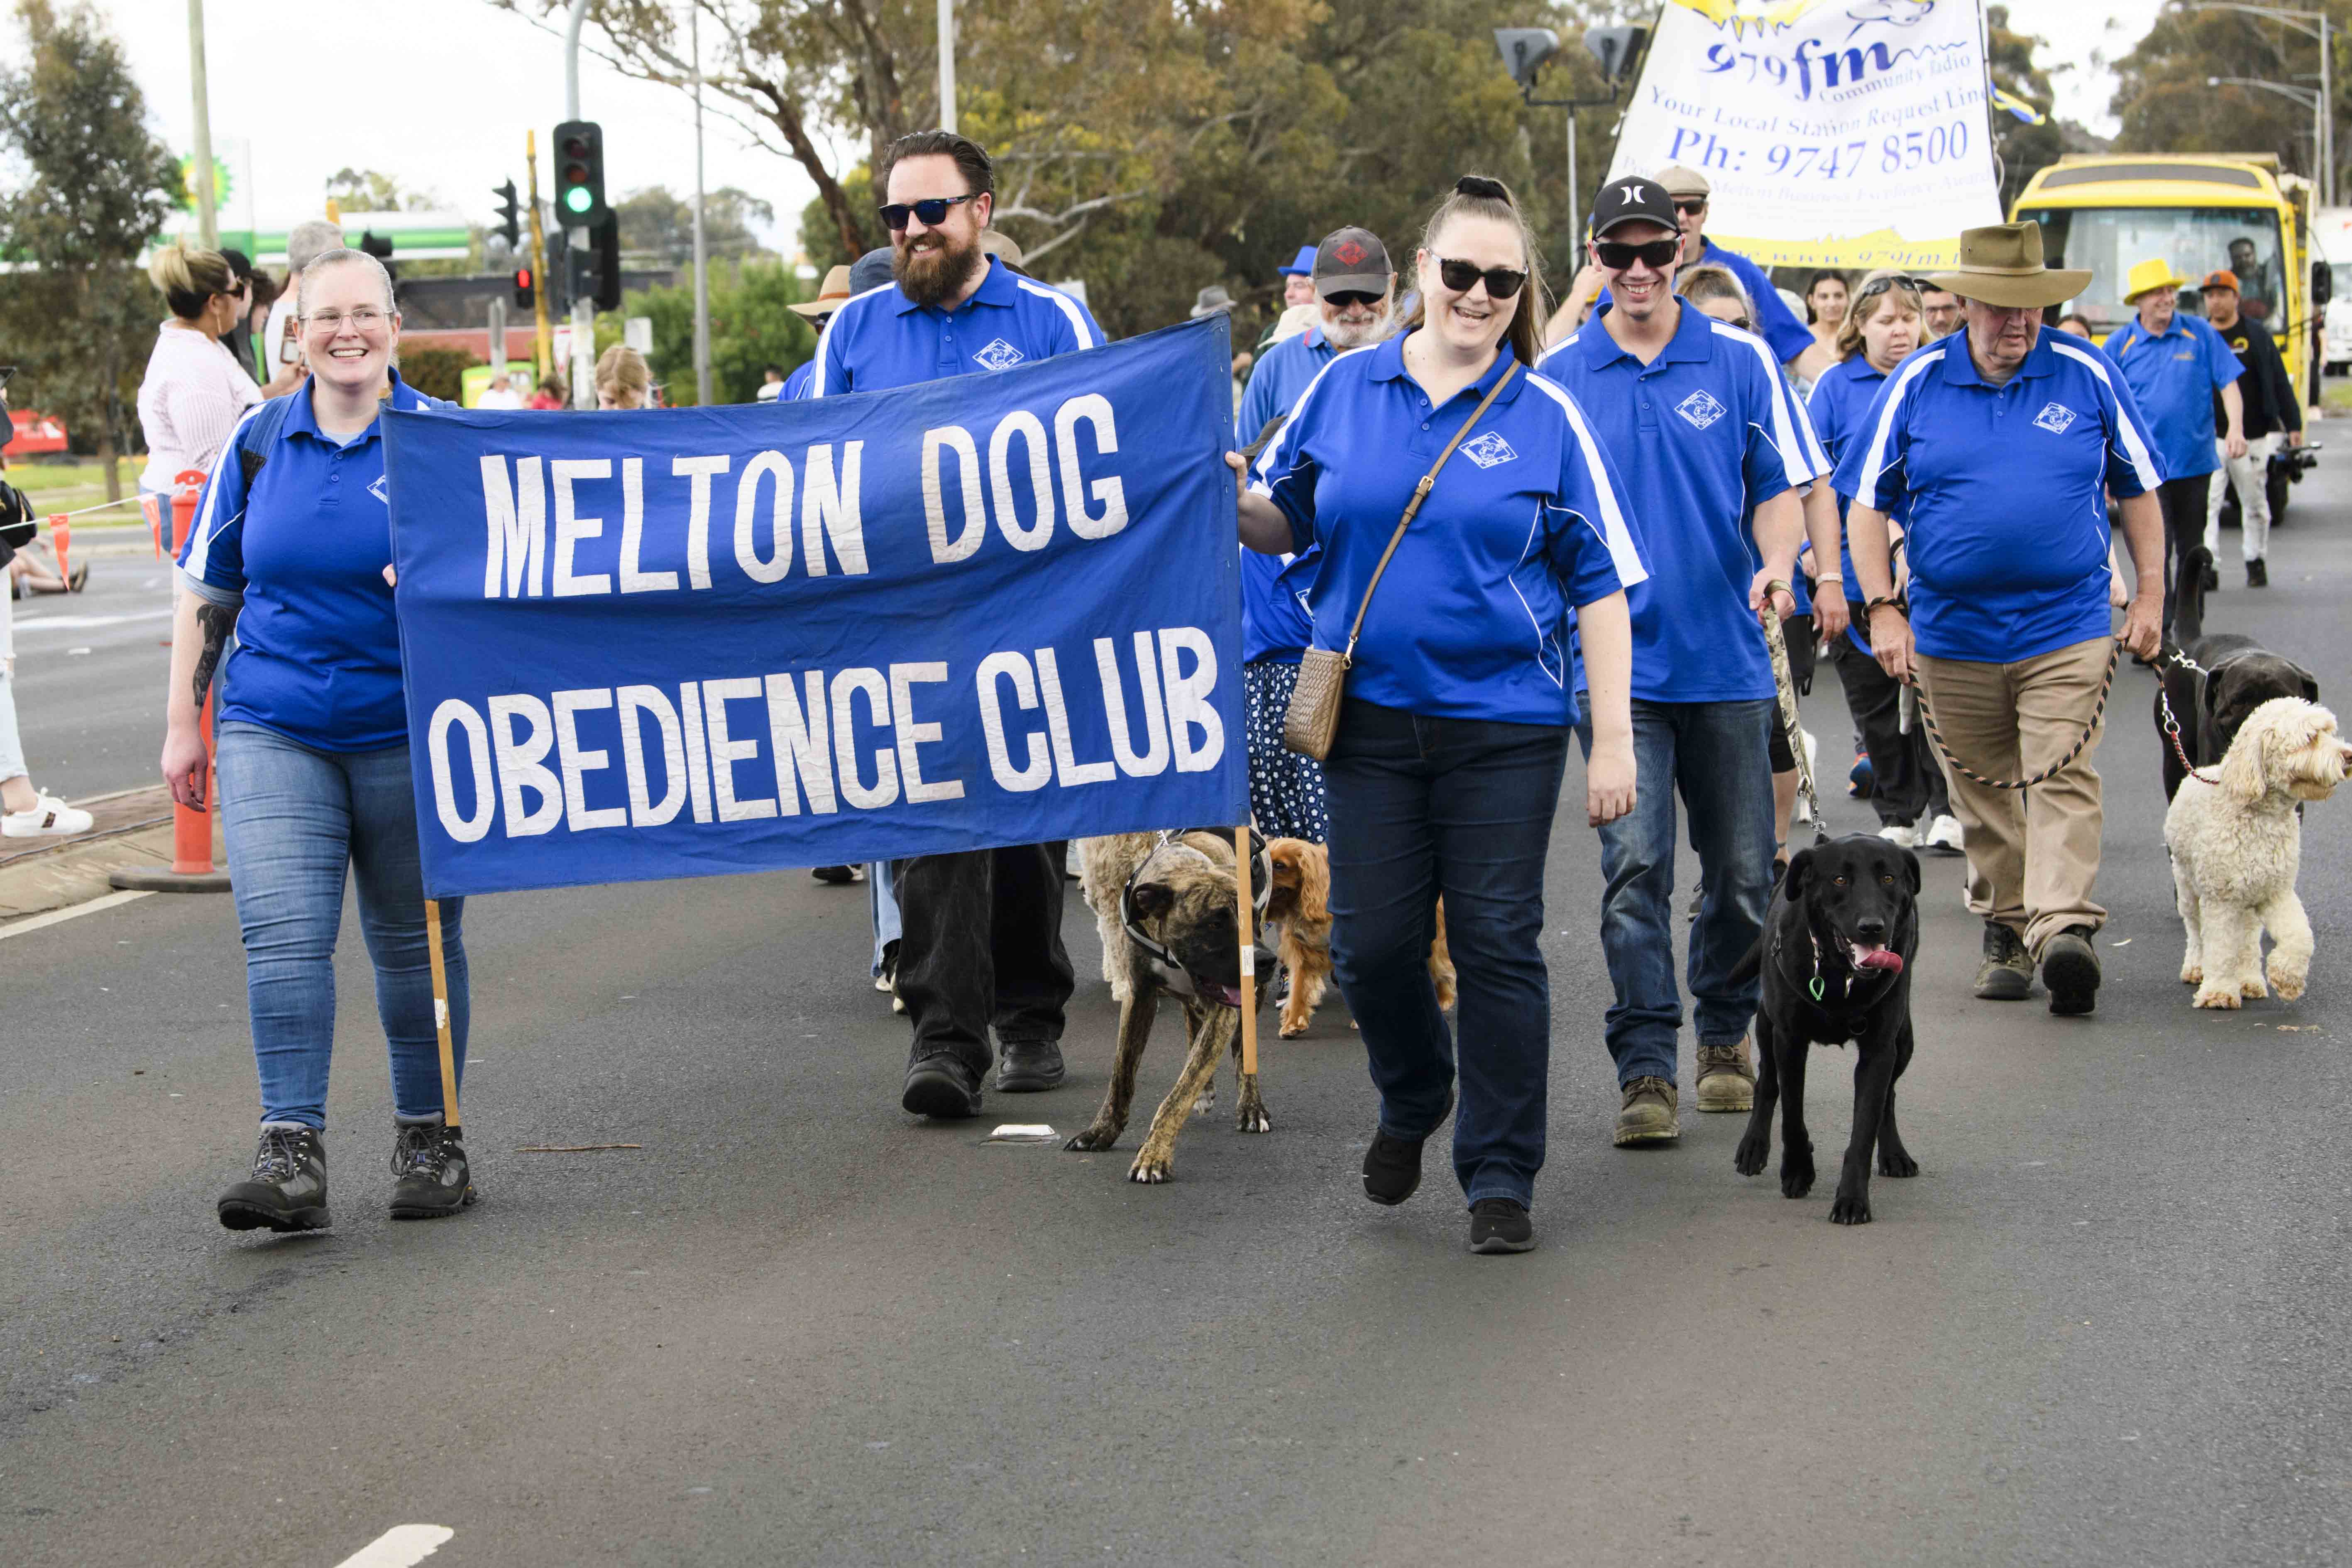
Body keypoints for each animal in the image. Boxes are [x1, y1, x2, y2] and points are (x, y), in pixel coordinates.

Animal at [1731, 832, 1929, 1222]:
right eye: (1839, 879)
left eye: (1889, 878)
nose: (1872, 926)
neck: (1841, 974)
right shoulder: (1789, 1039)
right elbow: (1792, 1114)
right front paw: (1797, 1170)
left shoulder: (1879, 1050)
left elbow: (1865, 1127)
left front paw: (1852, 1198)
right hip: (1766, 1025)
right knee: (1767, 1082)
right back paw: (1754, 1145)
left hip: (1905, 1040)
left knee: (1889, 1098)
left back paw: (1894, 1154)